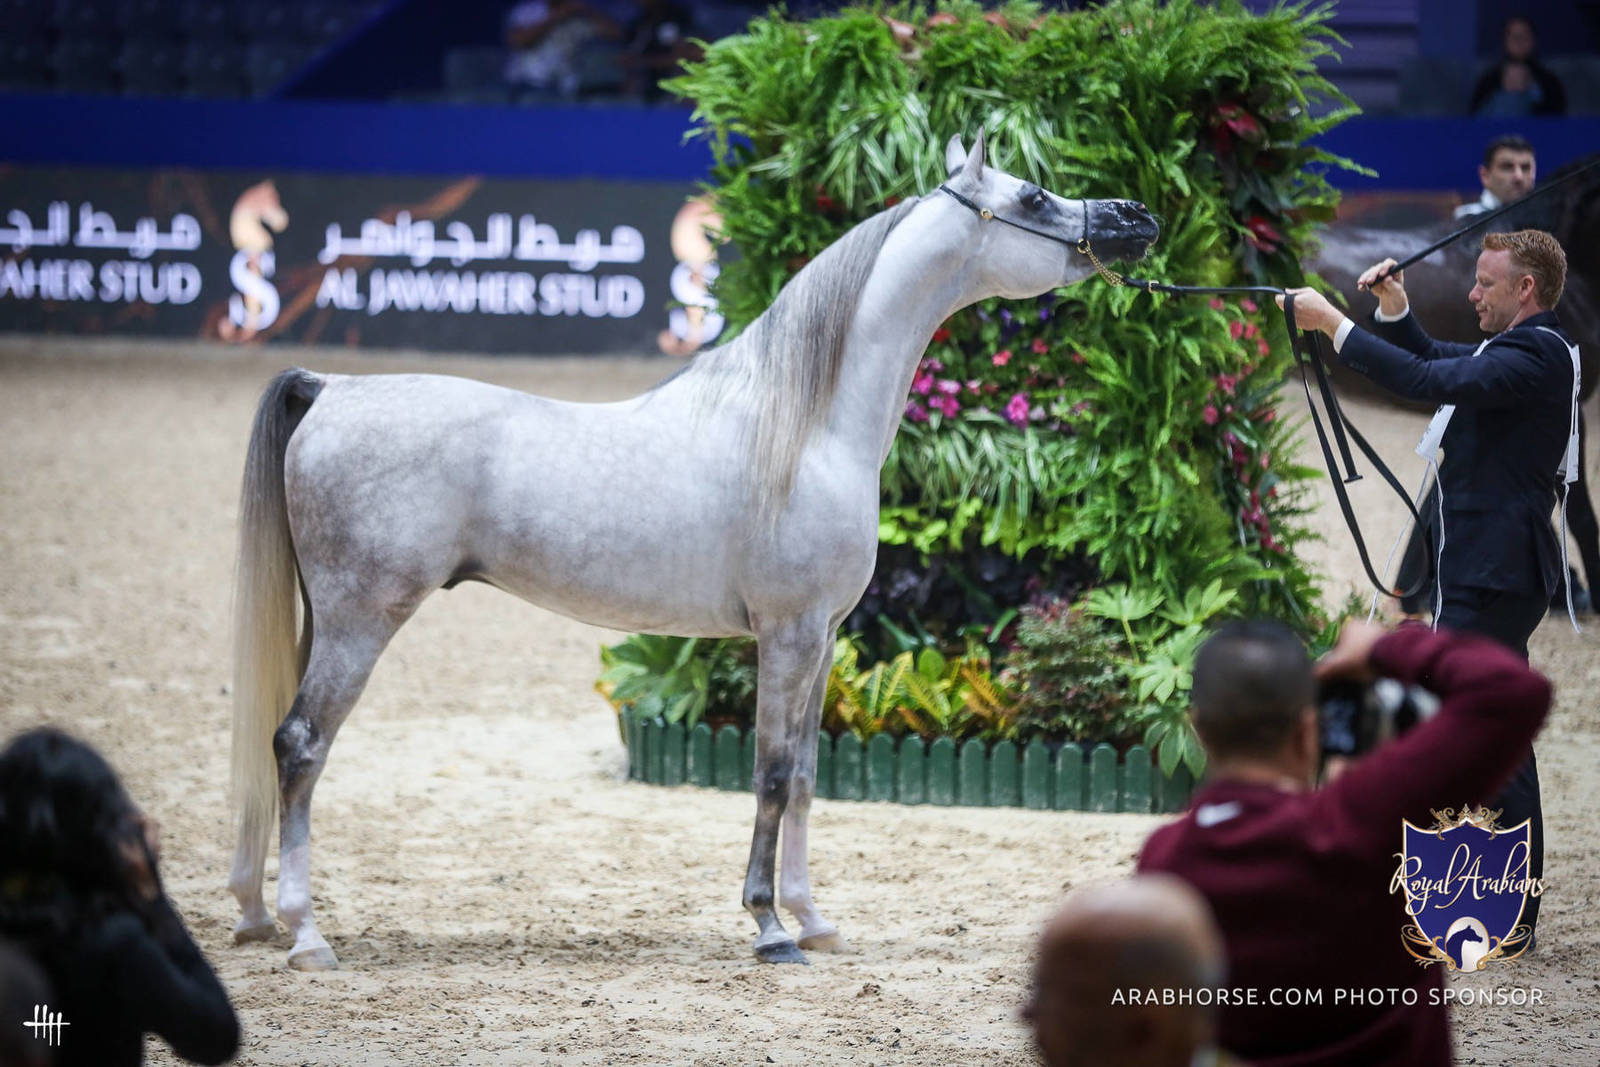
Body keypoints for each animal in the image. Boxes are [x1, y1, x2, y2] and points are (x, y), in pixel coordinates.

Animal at [227, 131, 1159, 970]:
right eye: (1033, 196)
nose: (1137, 217)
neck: (806, 426)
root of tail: (332, 388)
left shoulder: (824, 639)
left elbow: (809, 772)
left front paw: (813, 917)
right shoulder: (786, 633)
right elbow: (772, 773)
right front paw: (771, 927)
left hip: (327, 619)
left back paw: (256, 914)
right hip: (362, 620)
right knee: (301, 744)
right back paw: (306, 934)